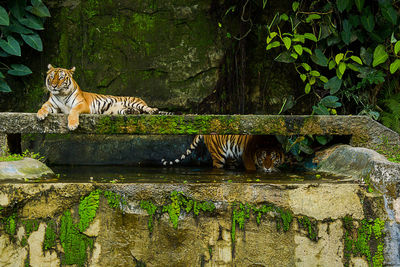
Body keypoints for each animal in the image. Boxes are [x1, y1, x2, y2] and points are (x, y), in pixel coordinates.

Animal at [36, 65, 170, 132]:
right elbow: (43, 106)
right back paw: (132, 112)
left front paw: (73, 125)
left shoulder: (82, 104)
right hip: (118, 110)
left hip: (136, 103)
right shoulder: (52, 105)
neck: (61, 94)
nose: (53, 86)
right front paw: (40, 115)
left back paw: (154, 110)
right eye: (51, 77)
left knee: (147, 109)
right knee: (136, 111)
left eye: (61, 78)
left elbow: (73, 111)